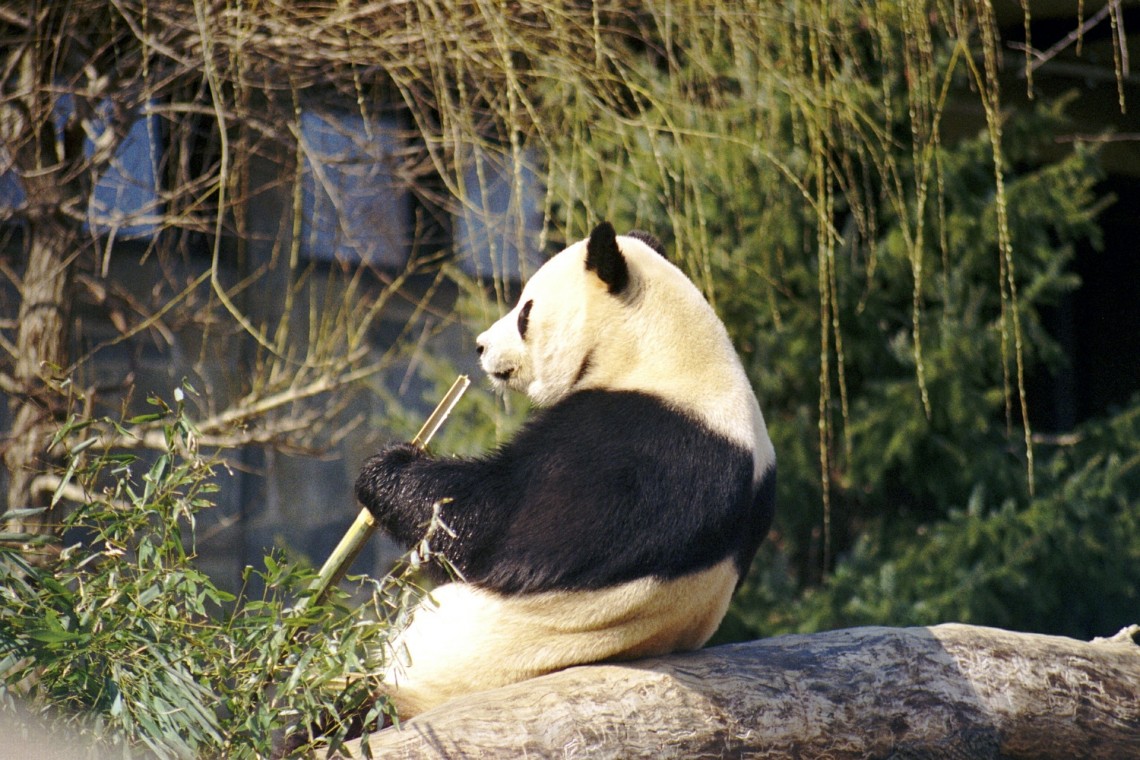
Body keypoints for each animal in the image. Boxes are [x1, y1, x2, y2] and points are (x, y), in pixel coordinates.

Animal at [357, 218, 775, 720]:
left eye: (525, 311)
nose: (481, 346)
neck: (664, 350)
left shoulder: (639, 448)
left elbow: (490, 522)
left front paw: (387, 467)